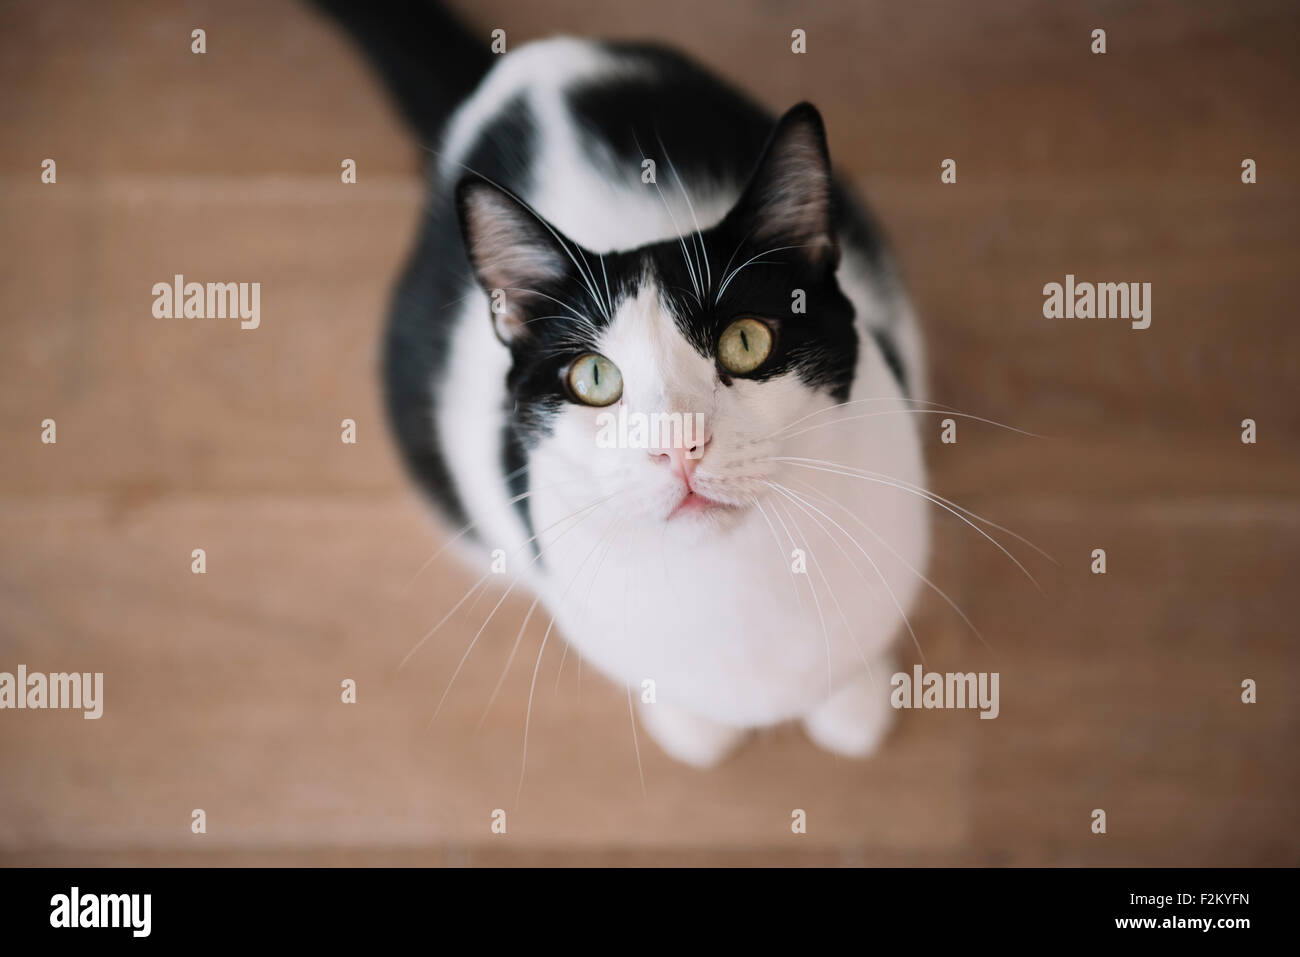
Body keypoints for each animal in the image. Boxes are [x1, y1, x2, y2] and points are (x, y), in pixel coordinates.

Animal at [315, 0, 930, 764]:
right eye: (595, 376)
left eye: (746, 341)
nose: (679, 444)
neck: (728, 582)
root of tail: (527, 65)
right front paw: (694, 725)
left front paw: (852, 700)